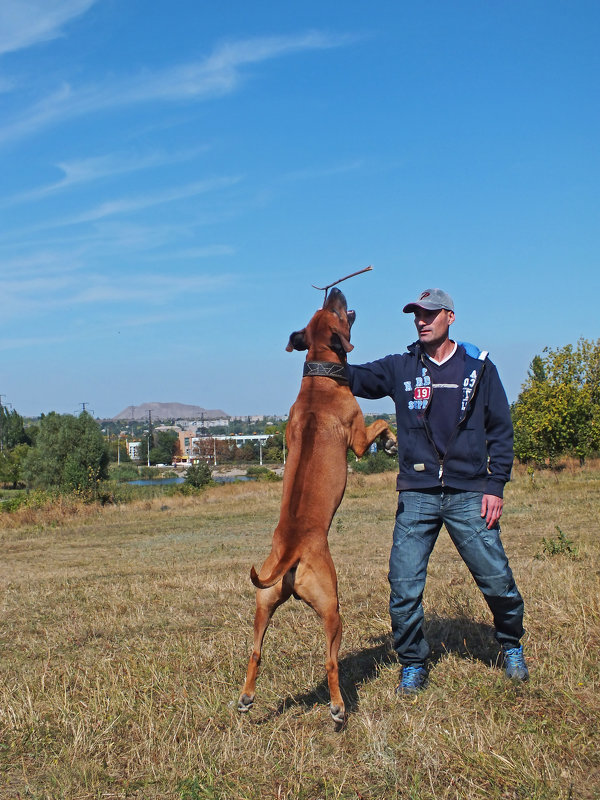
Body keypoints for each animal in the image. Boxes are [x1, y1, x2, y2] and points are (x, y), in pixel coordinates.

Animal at [237, 288, 396, 724]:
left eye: (323, 309)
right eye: (335, 312)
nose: (334, 290)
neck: (318, 378)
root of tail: (291, 552)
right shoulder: (356, 436)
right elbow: (380, 426)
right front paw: (390, 441)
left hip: (263, 604)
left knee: (255, 652)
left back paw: (246, 697)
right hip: (332, 607)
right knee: (330, 662)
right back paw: (339, 707)